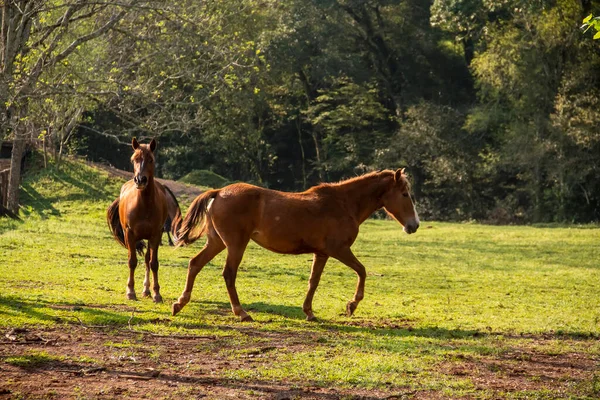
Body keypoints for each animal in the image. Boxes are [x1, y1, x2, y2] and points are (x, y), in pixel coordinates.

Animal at [106, 139, 180, 302]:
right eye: (134, 159)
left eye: (151, 159)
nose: (140, 180)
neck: (144, 204)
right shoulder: (130, 234)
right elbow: (132, 261)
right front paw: (130, 291)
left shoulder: (156, 235)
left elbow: (153, 263)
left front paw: (157, 293)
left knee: (147, 260)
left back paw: (147, 290)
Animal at [171, 169, 420, 322]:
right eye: (405, 194)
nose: (414, 225)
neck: (343, 204)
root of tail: (220, 192)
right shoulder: (339, 250)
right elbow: (362, 271)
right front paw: (352, 305)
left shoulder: (321, 253)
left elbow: (313, 281)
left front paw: (309, 312)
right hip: (235, 245)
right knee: (228, 274)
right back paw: (241, 313)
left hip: (217, 242)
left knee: (195, 264)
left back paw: (180, 303)